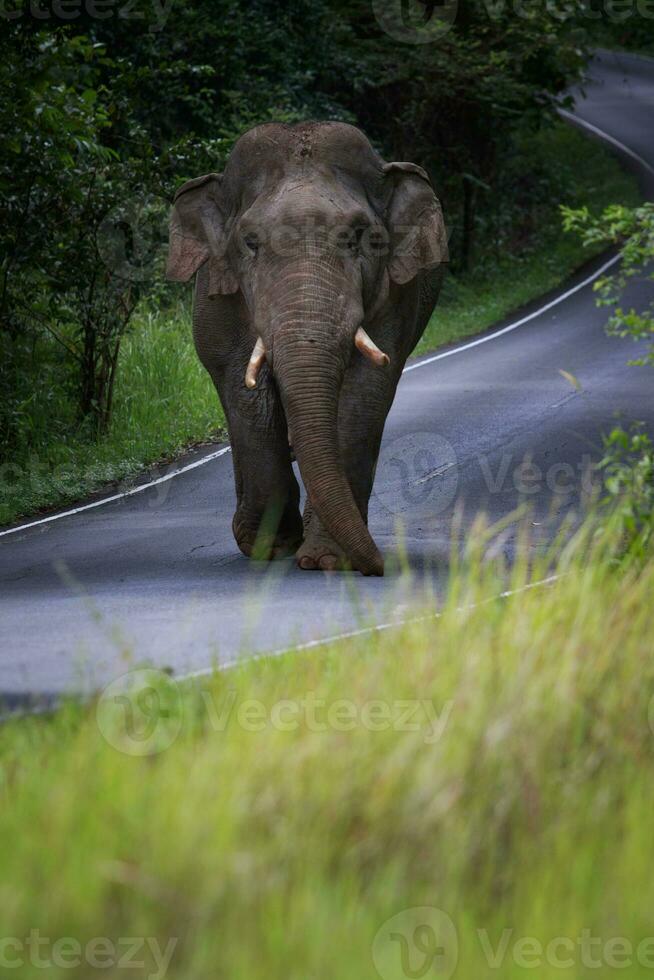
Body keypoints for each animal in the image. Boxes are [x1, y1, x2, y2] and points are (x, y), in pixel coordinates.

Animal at [167, 123, 448, 580]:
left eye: (357, 237)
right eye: (250, 242)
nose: (382, 567)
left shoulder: (395, 293)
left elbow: (365, 393)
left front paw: (328, 560)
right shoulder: (220, 295)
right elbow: (244, 387)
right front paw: (270, 547)